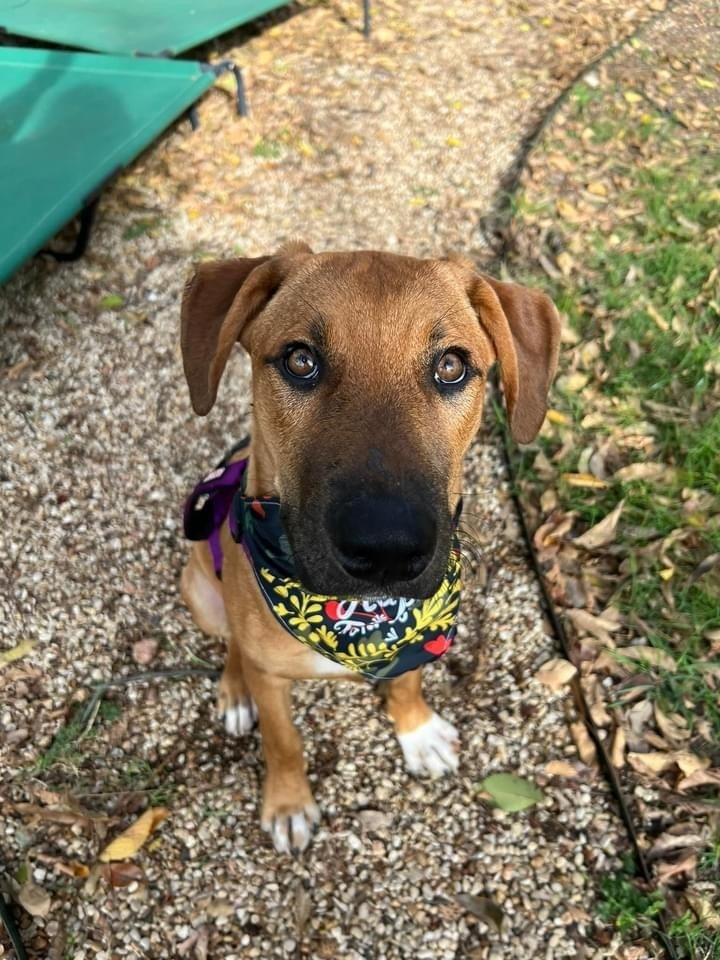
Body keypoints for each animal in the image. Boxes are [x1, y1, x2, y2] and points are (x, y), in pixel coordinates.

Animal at [180, 244, 564, 852]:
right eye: (300, 360)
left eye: (452, 366)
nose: (387, 549)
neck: (355, 620)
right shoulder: (273, 683)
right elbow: (283, 740)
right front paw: (288, 802)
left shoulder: (420, 633)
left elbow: (406, 680)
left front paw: (416, 731)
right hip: (200, 592)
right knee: (234, 644)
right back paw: (235, 690)